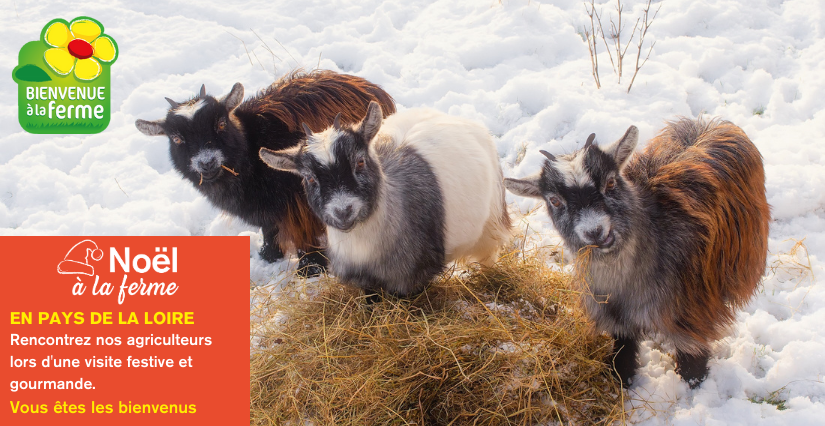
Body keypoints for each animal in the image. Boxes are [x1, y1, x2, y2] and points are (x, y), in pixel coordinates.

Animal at [134, 70, 396, 276]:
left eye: (221, 124)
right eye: (177, 138)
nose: (206, 163)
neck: (250, 154)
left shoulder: (299, 202)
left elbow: (304, 232)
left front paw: (310, 268)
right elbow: (269, 228)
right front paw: (269, 254)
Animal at [260, 101, 512, 298]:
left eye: (360, 161)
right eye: (310, 178)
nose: (343, 211)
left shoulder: (412, 278)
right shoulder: (364, 281)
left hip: (491, 225)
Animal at [506, 118, 768, 388]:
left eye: (611, 182)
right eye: (555, 201)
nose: (595, 231)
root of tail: (707, 122)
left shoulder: (690, 313)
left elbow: (692, 360)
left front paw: (694, 384)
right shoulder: (616, 318)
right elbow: (623, 351)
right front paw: (622, 379)